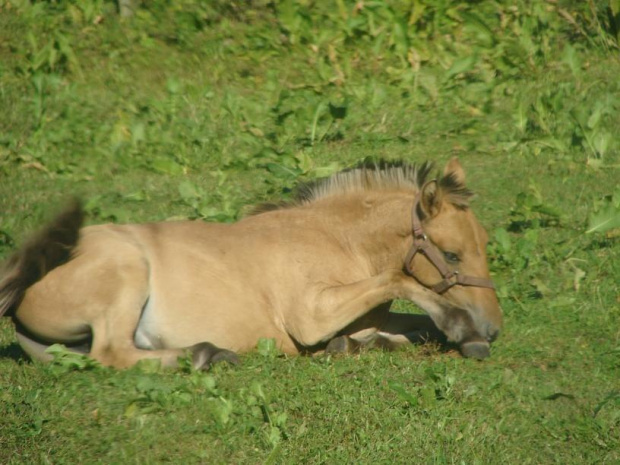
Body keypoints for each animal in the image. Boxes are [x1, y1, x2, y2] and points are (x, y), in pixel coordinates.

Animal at [0, 158, 504, 368]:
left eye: (483, 244)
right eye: (453, 254)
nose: (494, 327)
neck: (340, 241)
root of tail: (26, 279)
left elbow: (410, 324)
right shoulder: (310, 316)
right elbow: (401, 280)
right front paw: (464, 331)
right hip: (127, 274)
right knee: (112, 354)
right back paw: (207, 355)